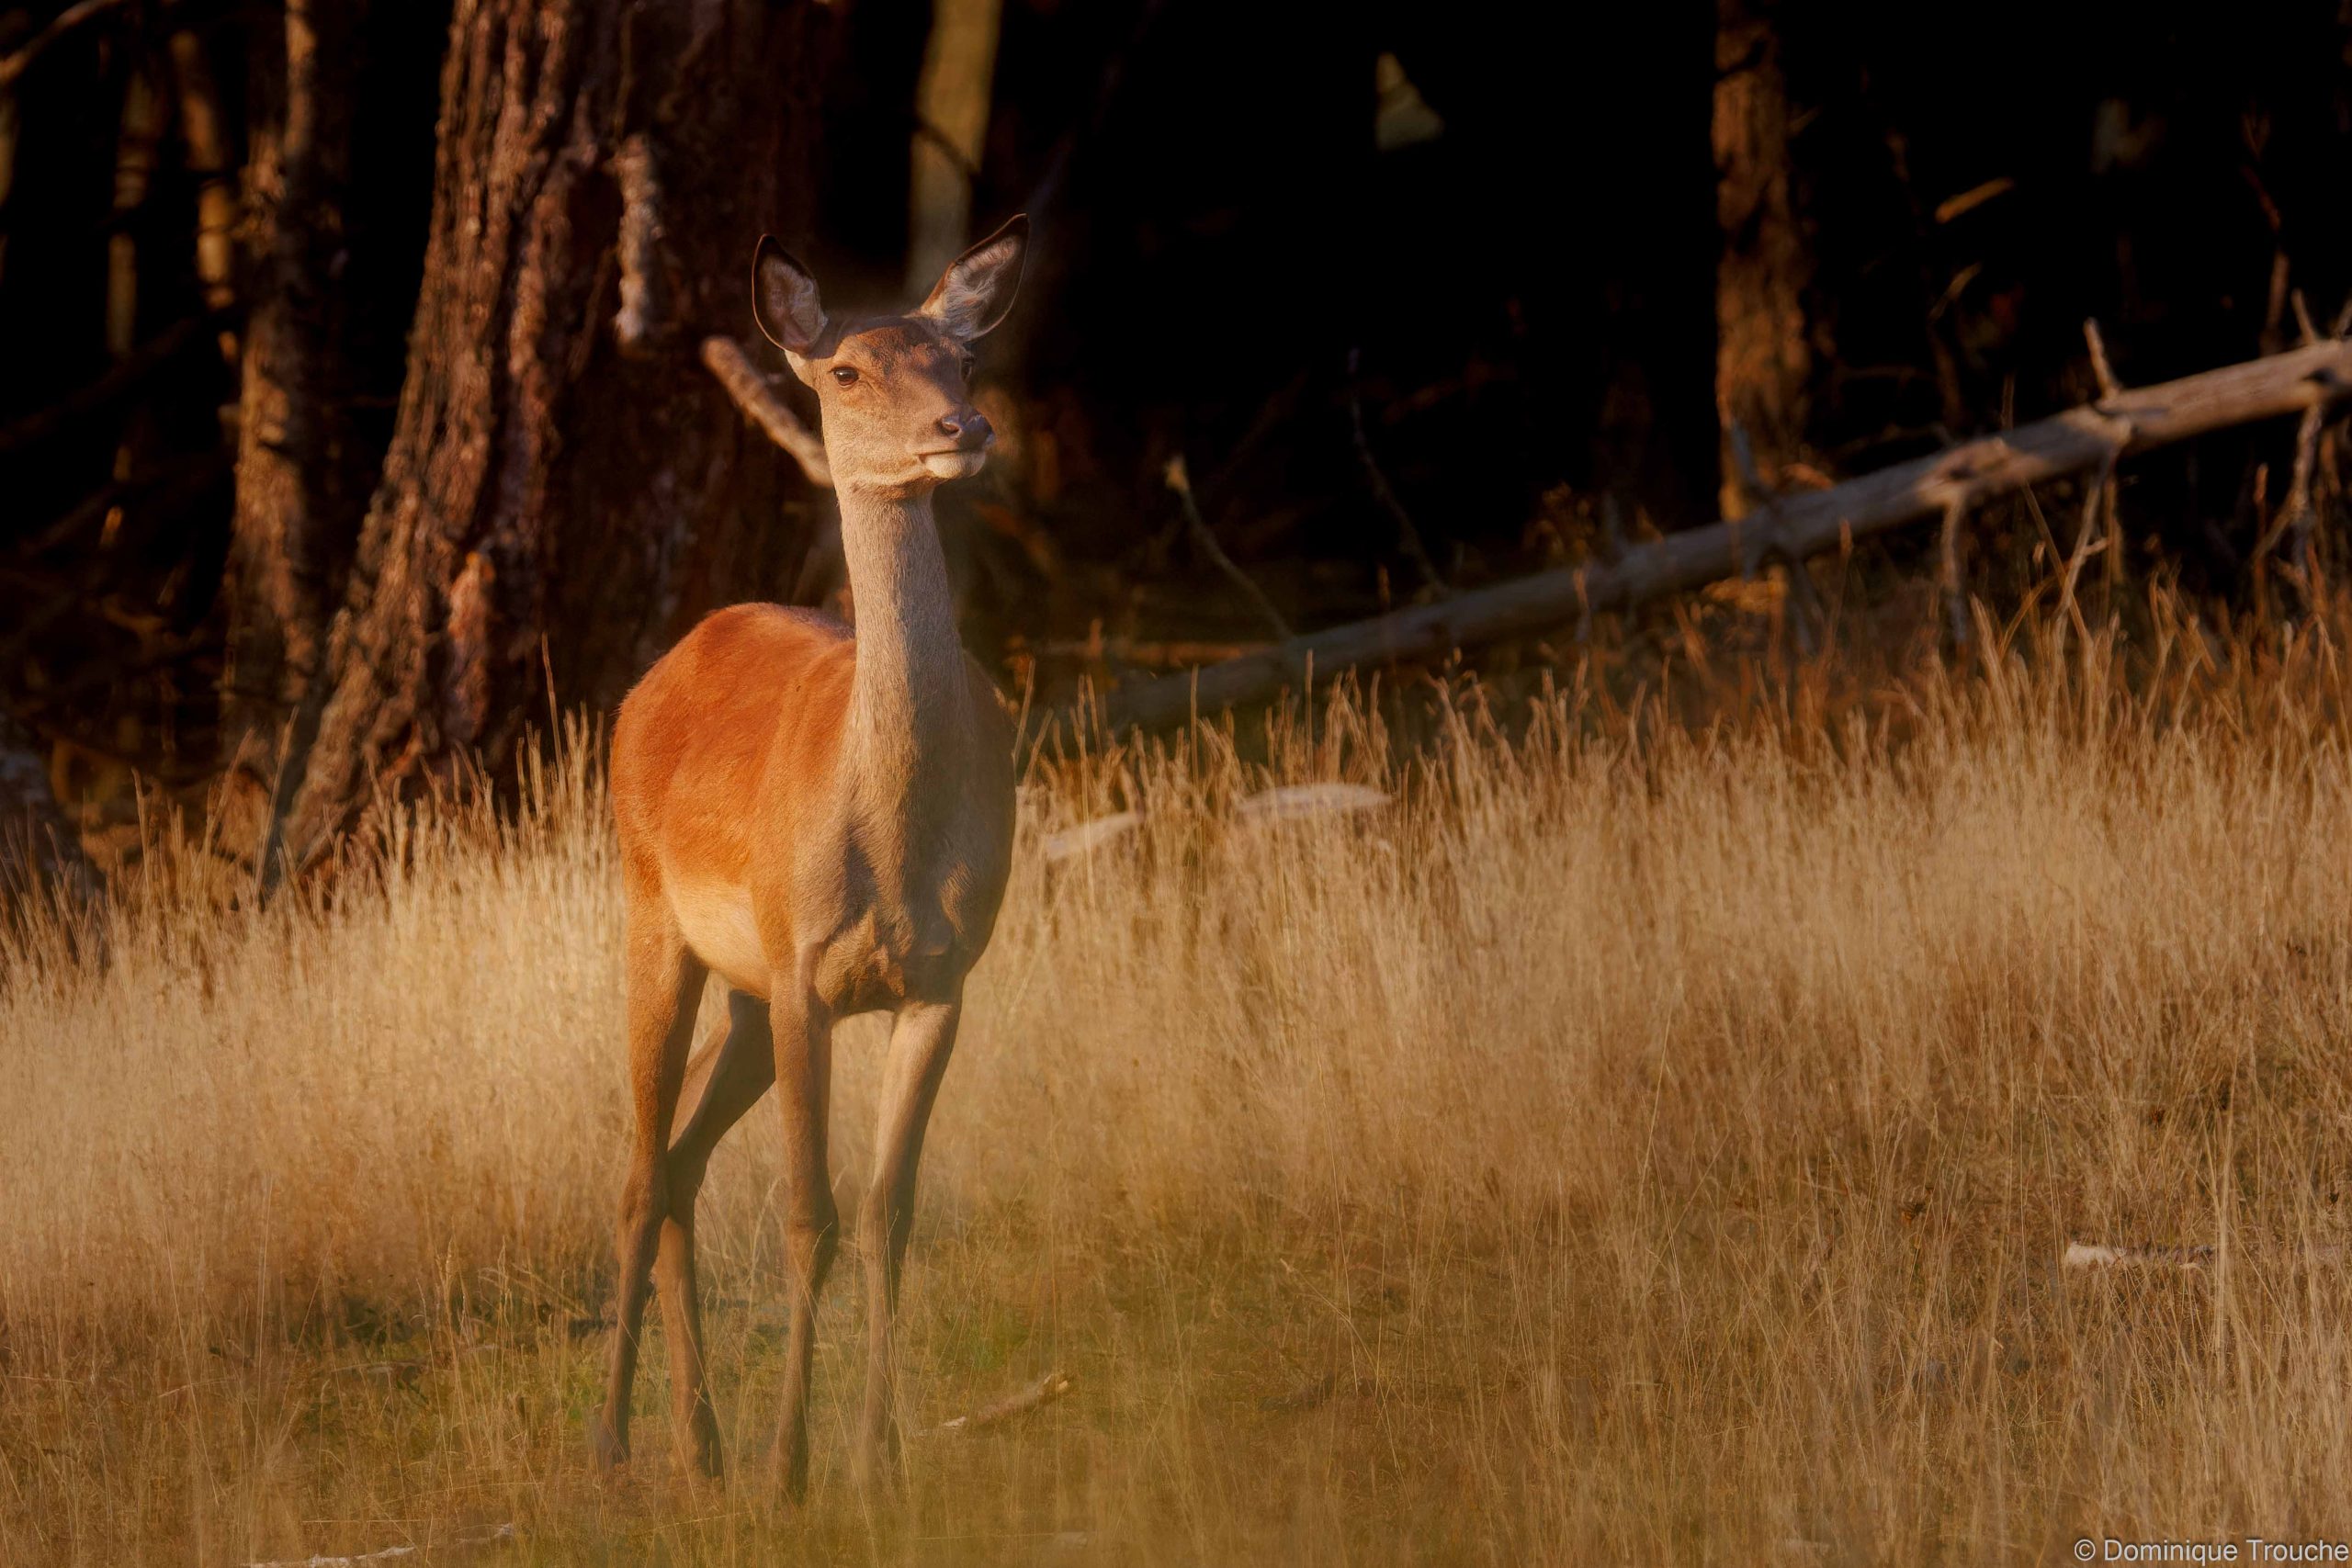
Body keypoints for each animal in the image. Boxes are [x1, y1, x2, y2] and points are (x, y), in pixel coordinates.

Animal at [591, 216, 1028, 1497]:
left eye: (960, 357)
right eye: (845, 371)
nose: (963, 429)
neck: (891, 833)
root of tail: (662, 668)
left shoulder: (941, 980)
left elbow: (886, 1215)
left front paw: (877, 1463)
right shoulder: (801, 974)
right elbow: (807, 1215)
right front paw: (794, 1470)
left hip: (739, 995)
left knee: (680, 1163)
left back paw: (700, 1444)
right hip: (654, 917)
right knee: (640, 1168)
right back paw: (614, 1444)